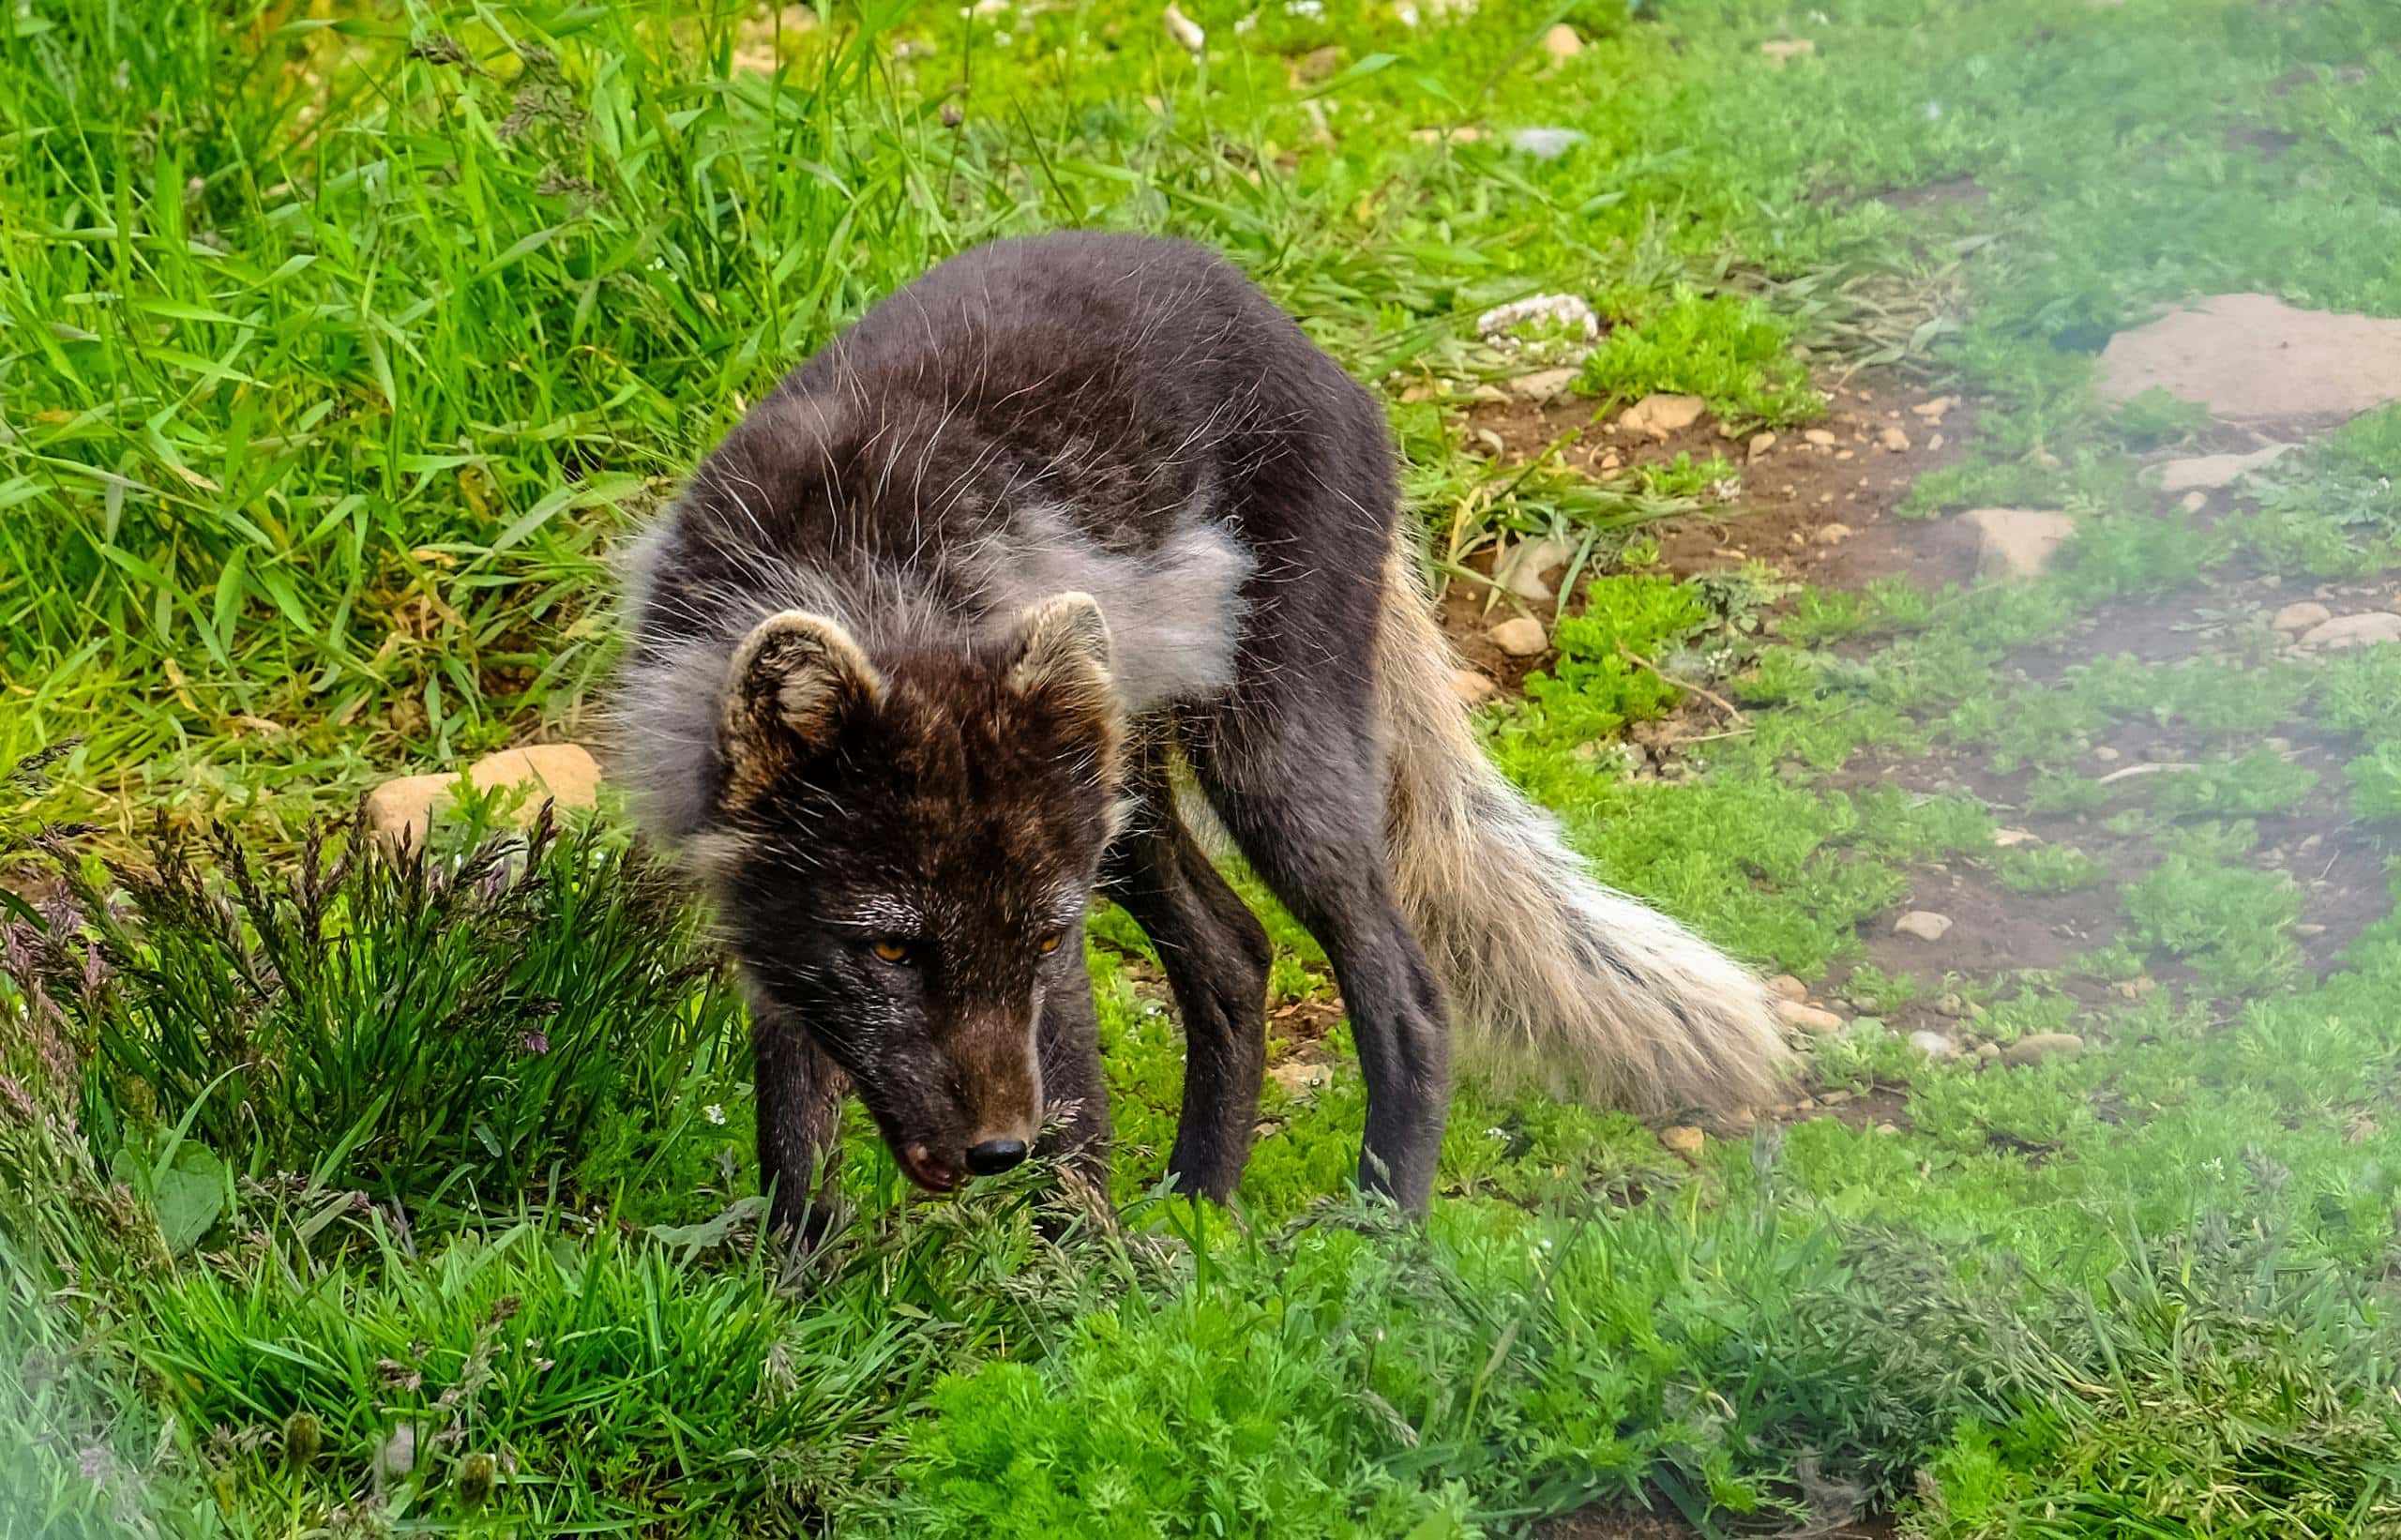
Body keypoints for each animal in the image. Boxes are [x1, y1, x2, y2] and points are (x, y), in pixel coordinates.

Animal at [610, 231, 1789, 1234]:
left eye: (1042, 941)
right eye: (894, 949)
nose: (994, 1152)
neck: (875, 573)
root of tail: (1305, 343)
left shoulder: (1059, 952)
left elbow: (1077, 1129)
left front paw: (1073, 1307)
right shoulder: (777, 930)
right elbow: (794, 1148)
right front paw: (792, 1307)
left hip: (1267, 762)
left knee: (1403, 989)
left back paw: (1378, 1235)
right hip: (1125, 802)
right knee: (1235, 952)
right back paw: (1195, 1214)